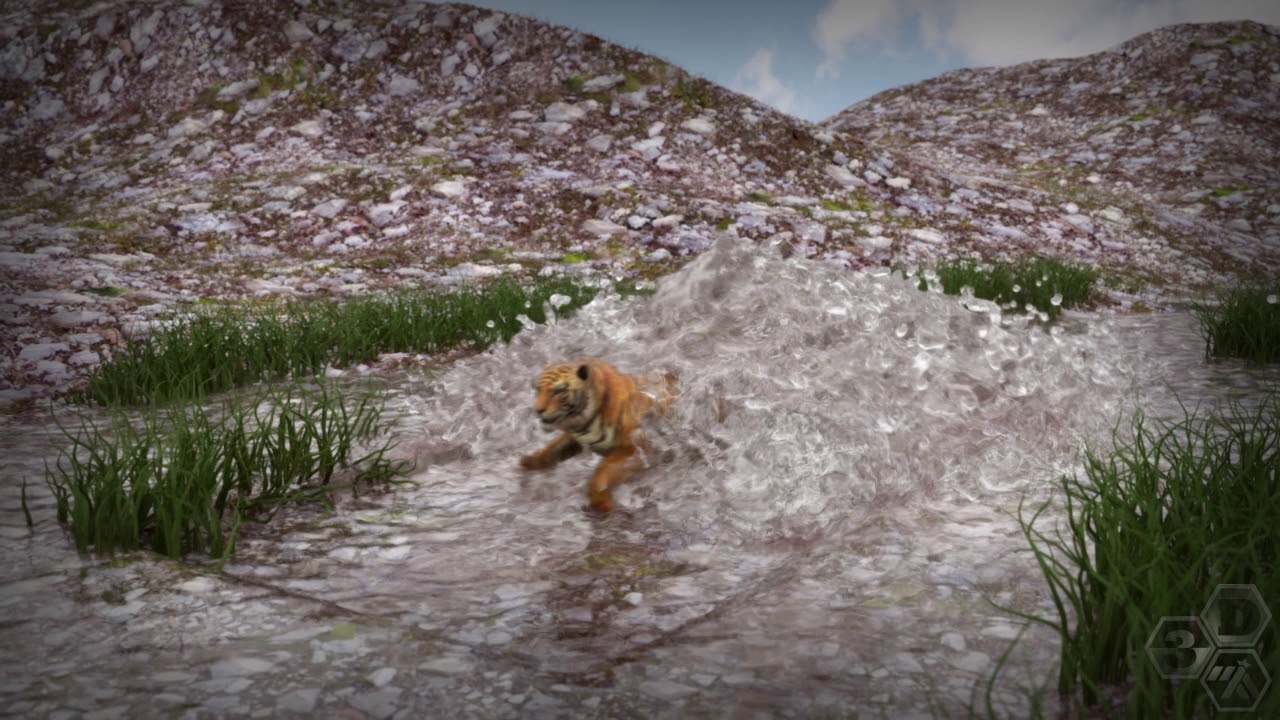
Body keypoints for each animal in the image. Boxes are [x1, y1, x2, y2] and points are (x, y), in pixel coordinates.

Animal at [519, 358, 677, 513]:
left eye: (557, 392)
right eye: (539, 390)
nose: (538, 410)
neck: (584, 420)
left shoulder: (634, 447)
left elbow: (603, 471)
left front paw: (601, 503)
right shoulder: (576, 438)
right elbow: (551, 451)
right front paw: (529, 461)